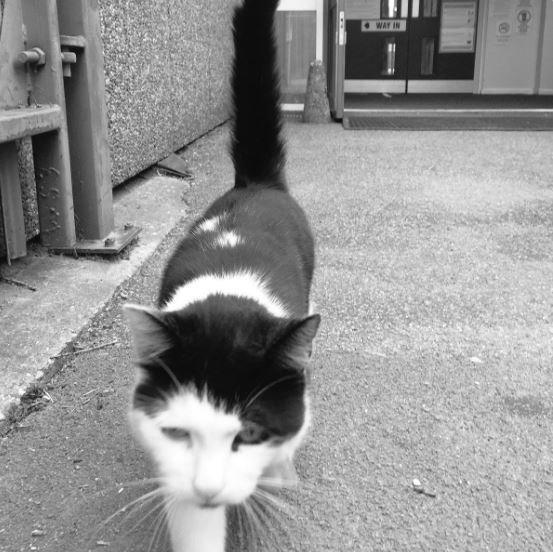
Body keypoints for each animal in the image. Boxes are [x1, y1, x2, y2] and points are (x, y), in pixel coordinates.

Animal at [123, 1, 316, 552]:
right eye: (178, 434)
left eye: (248, 434)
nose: (209, 489)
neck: (226, 299)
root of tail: (254, 184)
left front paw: (277, 475)